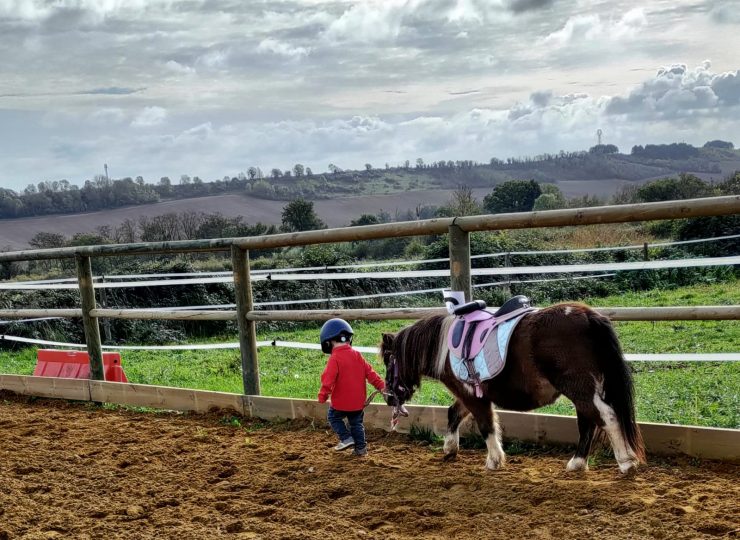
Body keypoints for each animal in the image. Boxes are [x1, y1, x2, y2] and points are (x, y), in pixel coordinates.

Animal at [384, 302, 644, 474]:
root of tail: (588, 316)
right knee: (588, 421)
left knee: (606, 416)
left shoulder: (473, 397)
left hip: (579, 387)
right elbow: (454, 414)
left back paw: (626, 462)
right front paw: (449, 449)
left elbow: (486, 426)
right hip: (583, 389)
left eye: (388, 360)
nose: (388, 398)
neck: (445, 347)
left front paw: (494, 460)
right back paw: (578, 463)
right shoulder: (469, 394)